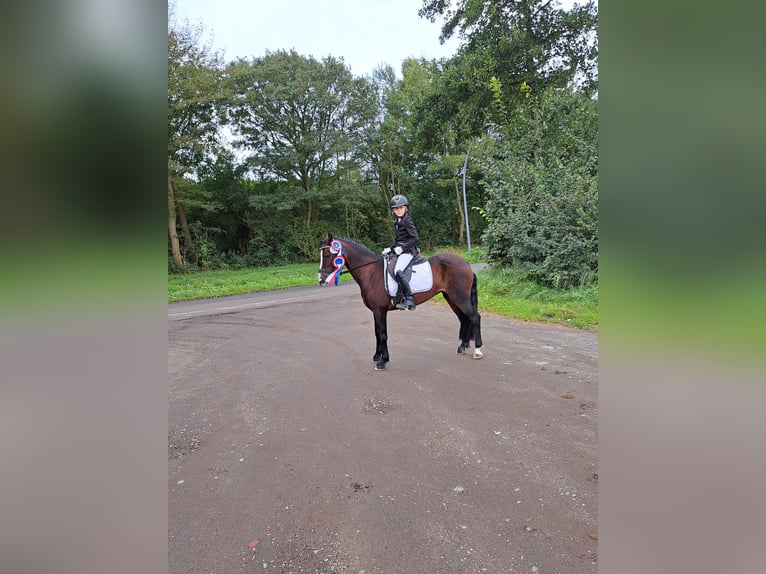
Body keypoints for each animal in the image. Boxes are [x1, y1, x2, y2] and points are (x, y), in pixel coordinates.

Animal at [320, 233, 486, 372]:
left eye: (328, 255)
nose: (321, 280)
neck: (371, 272)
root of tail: (466, 264)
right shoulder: (375, 311)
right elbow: (376, 332)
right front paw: (377, 356)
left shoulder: (380, 310)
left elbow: (382, 334)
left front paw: (383, 361)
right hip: (451, 297)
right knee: (464, 318)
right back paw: (462, 346)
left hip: (460, 297)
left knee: (475, 317)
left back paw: (477, 351)